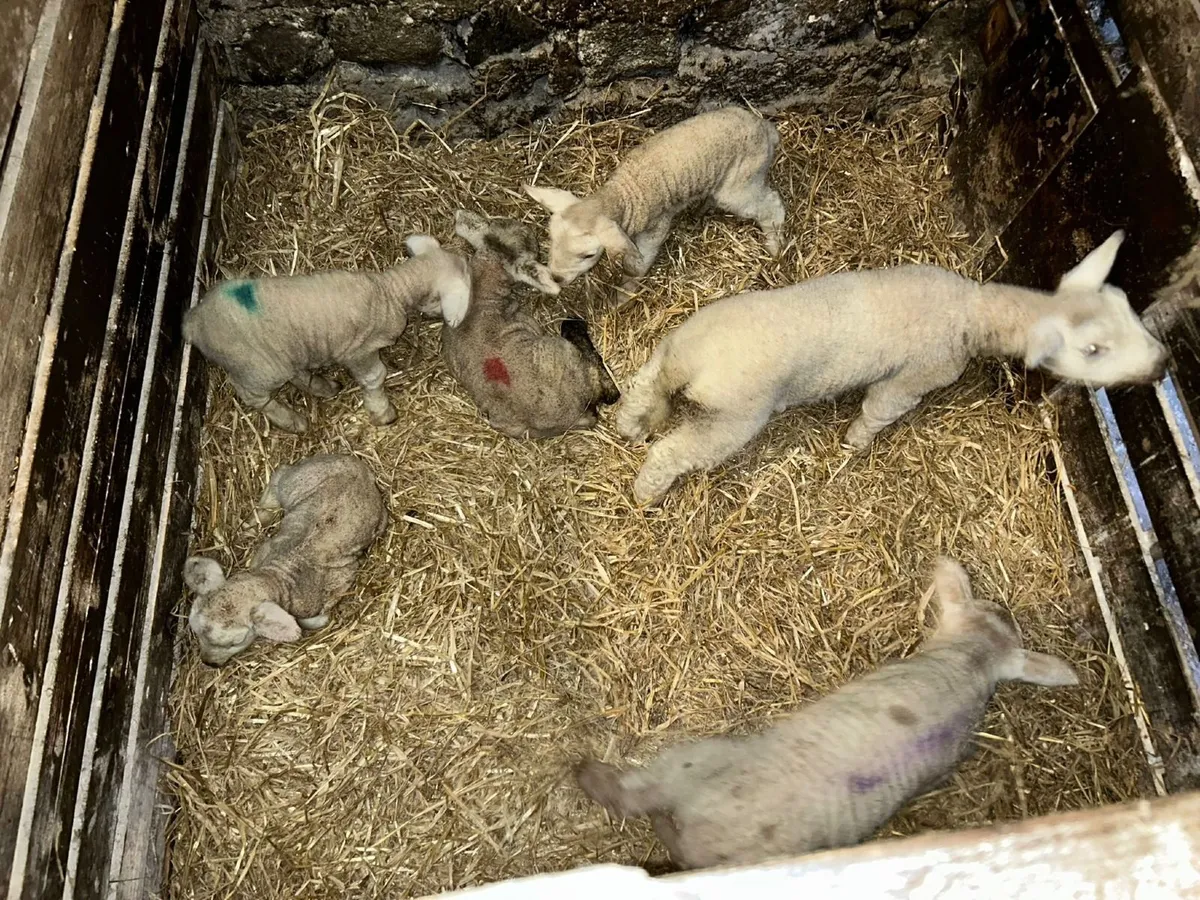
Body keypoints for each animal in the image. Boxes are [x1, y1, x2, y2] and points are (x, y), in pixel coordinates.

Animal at [183, 235, 472, 433]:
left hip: (283, 355)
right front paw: (382, 412)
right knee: (251, 394)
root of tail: (193, 322)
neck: (390, 290)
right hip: (258, 367)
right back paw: (292, 420)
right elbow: (375, 377)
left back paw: (323, 386)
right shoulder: (360, 350)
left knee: (296, 373)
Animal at [183, 453, 386, 666]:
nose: (208, 662)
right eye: (196, 632)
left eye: (235, 642)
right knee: (280, 474)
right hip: (297, 481)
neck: (277, 575)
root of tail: (359, 467)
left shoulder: (339, 583)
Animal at [523, 106, 784, 292]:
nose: (556, 277)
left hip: (740, 183)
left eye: (588, 255)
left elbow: (637, 263)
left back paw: (775, 246)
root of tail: (766, 128)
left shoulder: (655, 227)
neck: (622, 195)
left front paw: (624, 293)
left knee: (771, 205)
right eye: (550, 239)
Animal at [617, 230, 1169, 504]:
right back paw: (646, 494)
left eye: (1125, 305)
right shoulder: (913, 378)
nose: (1162, 364)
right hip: (734, 416)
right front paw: (854, 445)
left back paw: (629, 425)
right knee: (671, 452)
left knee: (643, 386)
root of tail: (693, 360)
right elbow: (878, 411)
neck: (972, 312)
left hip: (669, 350)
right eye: (1093, 349)